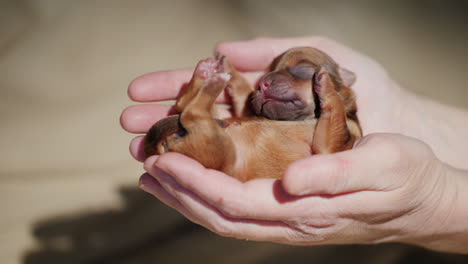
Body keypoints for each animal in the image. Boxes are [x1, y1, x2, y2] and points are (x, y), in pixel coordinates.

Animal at [143, 47, 362, 182]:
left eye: (303, 68)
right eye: (261, 79)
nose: (263, 84)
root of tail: (163, 146)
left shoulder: (330, 147)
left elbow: (335, 106)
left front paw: (326, 84)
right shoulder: (247, 106)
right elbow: (242, 93)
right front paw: (230, 68)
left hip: (219, 148)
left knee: (190, 113)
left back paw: (211, 81)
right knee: (184, 106)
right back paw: (206, 74)